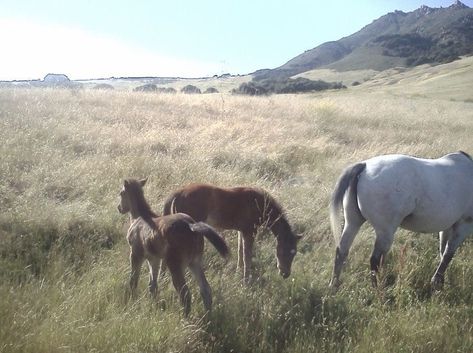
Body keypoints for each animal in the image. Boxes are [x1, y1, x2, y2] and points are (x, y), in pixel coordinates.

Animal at [117, 177, 229, 314]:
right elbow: (152, 284)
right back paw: (208, 316)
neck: (140, 218)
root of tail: (191, 226)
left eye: (121, 193)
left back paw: (185, 317)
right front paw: (154, 306)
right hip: (195, 261)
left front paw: (132, 301)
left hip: (175, 264)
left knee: (185, 293)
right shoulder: (153, 258)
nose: (119, 208)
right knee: (205, 289)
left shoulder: (136, 254)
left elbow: (133, 280)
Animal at [162, 184, 300, 280]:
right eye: (284, 251)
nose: (285, 274)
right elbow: (247, 256)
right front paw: (246, 280)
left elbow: (240, 251)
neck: (260, 204)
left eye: (294, 254)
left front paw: (238, 272)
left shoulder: (242, 231)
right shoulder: (250, 231)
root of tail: (178, 193)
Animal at [330, 151, 472, 288]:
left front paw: (440, 281)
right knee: (375, 259)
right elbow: (448, 254)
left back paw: (334, 285)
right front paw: (437, 282)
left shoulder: (447, 227)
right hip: (385, 232)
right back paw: (377, 289)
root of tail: (365, 166)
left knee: (341, 251)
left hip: (353, 222)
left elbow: (443, 252)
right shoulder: (464, 225)